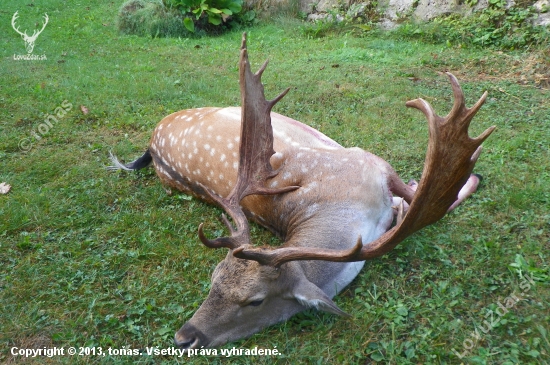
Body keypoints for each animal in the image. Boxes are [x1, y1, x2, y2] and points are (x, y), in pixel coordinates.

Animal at [110, 32, 498, 346]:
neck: (355, 215)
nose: (185, 337)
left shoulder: (374, 164)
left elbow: (420, 199)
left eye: (255, 300)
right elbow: (428, 201)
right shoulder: (372, 165)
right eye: (213, 278)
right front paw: (468, 177)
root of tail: (151, 145)